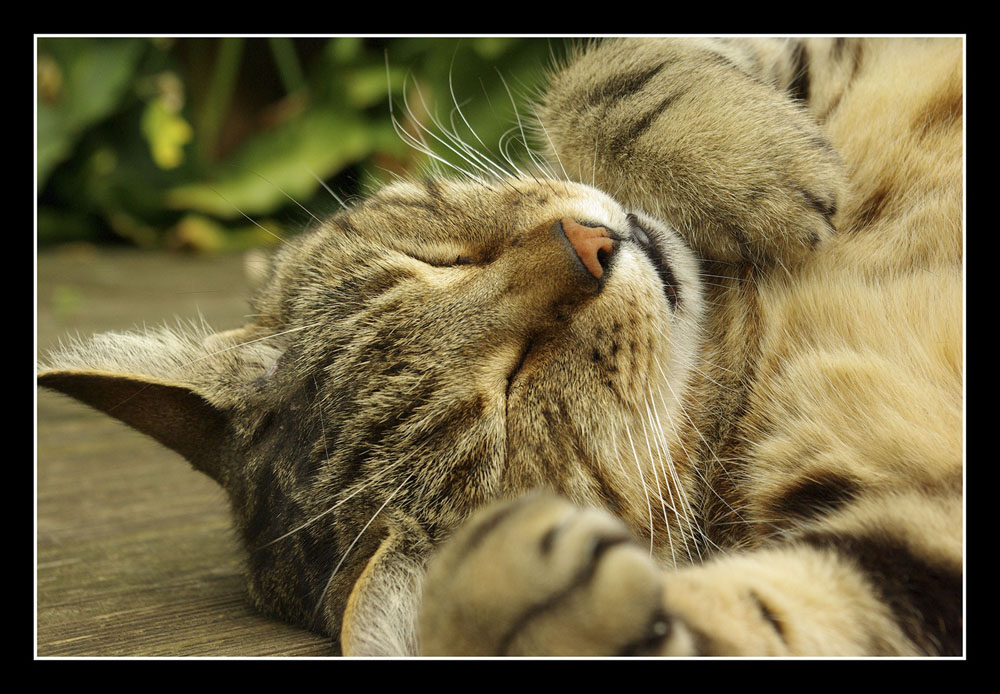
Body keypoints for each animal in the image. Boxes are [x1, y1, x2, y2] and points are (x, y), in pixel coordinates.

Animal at [37, 38, 960, 656]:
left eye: (438, 264)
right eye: (512, 394)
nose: (590, 248)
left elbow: (597, 76)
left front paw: (746, 161)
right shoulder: (904, 528)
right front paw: (530, 605)